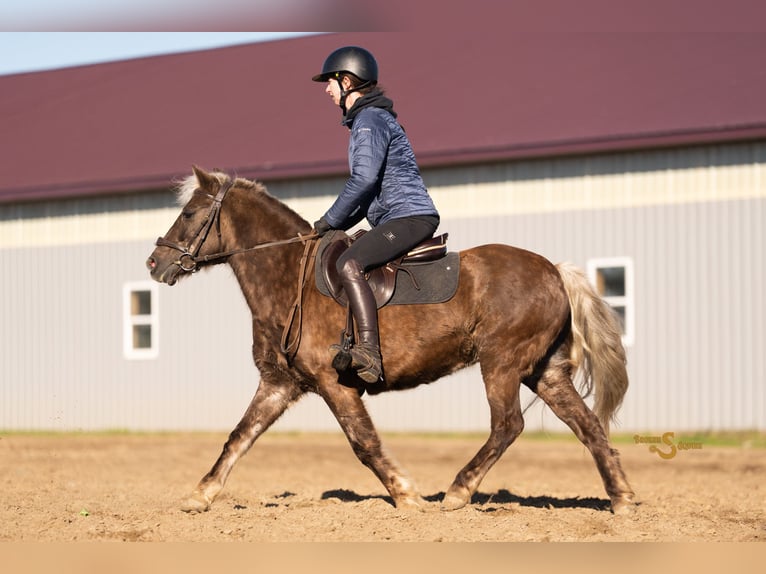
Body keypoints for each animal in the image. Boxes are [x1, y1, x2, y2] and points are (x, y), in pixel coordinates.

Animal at [146, 166, 635, 515]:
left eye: (188, 214)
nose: (154, 263)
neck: (288, 276)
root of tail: (555, 271)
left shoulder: (334, 383)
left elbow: (364, 442)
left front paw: (407, 495)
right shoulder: (279, 384)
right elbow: (239, 436)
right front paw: (200, 494)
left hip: (502, 362)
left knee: (508, 425)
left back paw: (458, 492)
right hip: (545, 372)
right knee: (587, 426)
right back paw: (622, 499)